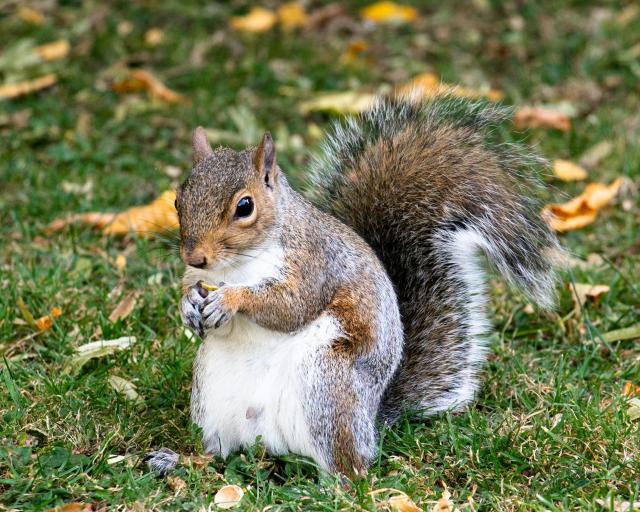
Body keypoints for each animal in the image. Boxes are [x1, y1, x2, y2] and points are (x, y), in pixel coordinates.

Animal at [171, 95, 562, 477]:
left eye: (245, 206)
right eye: (177, 200)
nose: (195, 256)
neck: (236, 265)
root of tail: (371, 424)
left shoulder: (315, 264)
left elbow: (292, 307)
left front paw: (231, 299)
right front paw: (188, 305)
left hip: (328, 385)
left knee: (350, 465)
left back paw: (337, 483)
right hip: (211, 395)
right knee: (219, 450)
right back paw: (185, 460)